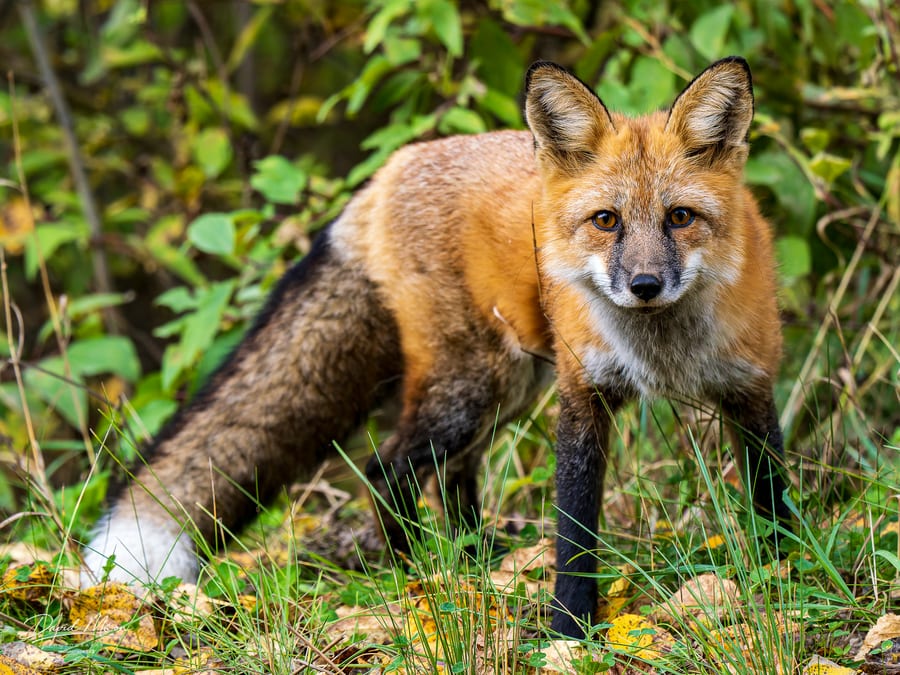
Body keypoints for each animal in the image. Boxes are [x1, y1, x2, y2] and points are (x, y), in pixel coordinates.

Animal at [82, 57, 791, 638]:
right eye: (606, 221)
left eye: (679, 217)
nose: (644, 286)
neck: (663, 355)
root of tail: (390, 169)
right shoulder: (582, 395)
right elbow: (576, 527)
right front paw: (569, 629)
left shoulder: (750, 385)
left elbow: (771, 496)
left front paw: (782, 575)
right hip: (470, 386)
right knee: (388, 467)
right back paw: (415, 572)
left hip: (505, 386)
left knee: (453, 478)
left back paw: (476, 561)